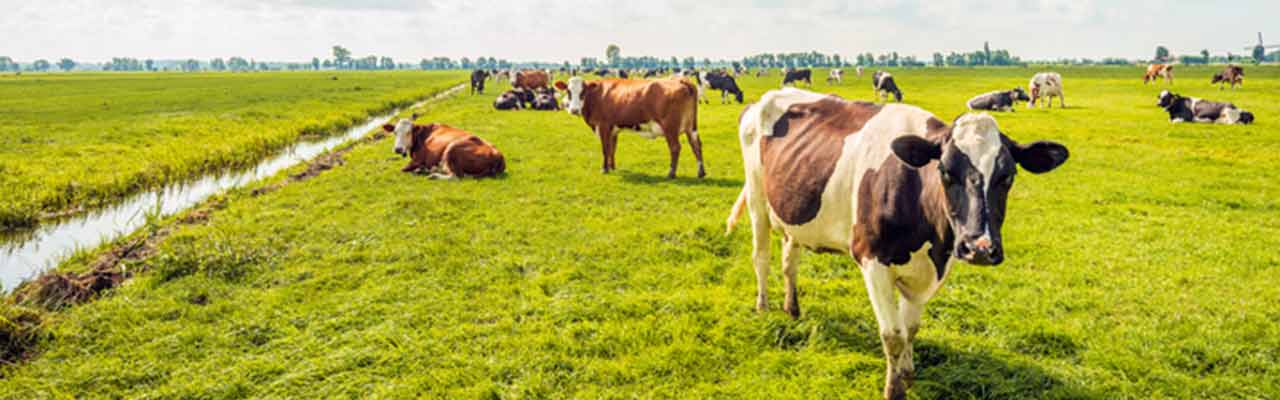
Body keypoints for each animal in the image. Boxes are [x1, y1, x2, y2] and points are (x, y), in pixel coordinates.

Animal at [555, 76, 706, 178]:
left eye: (583, 92)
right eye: (568, 91)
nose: (574, 110)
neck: (597, 96)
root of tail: (681, 80)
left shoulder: (603, 126)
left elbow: (605, 149)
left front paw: (604, 169)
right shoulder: (613, 129)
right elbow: (612, 149)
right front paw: (612, 167)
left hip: (670, 128)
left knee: (675, 147)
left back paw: (671, 173)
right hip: (691, 127)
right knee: (696, 145)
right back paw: (701, 172)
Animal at [732, 87, 1070, 400]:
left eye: (1008, 176)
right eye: (945, 171)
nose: (980, 248)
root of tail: (767, 97)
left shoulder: (930, 270)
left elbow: (911, 329)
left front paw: (907, 374)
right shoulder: (872, 260)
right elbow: (893, 333)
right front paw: (893, 389)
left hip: (794, 213)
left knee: (789, 262)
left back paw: (792, 308)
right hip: (757, 199)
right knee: (761, 257)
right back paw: (763, 307)